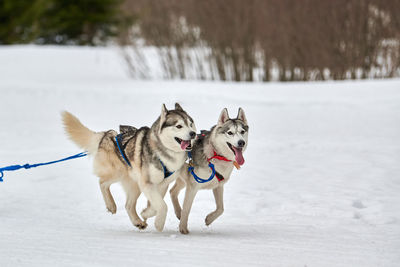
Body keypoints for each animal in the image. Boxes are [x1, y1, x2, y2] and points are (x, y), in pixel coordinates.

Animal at [62, 103, 197, 231]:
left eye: (191, 124)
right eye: (179, 126)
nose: (193, 133)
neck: (166, 152)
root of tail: (107, 135)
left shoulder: (162, 184)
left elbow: (155, 205)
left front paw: (146, 213)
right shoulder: (147, 183)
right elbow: (162, 205)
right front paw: (159, 223)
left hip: (134, 185)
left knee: (128, 205)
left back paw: (138, 222)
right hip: (118, 172)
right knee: (102, 183)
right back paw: (111, 205)